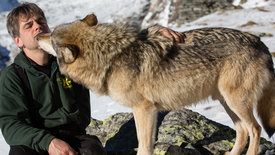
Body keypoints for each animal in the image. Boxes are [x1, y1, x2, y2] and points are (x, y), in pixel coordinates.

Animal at [38, 13, 275, 154]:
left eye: (51, 37)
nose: (39, 35)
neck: (111, 57)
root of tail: (260, 42)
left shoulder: (144, 109)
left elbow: (144, 145)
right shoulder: (146, 110)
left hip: (236, 102)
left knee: (255, 130)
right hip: (227, 102)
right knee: (242, 131)